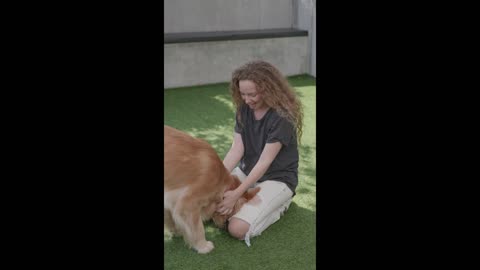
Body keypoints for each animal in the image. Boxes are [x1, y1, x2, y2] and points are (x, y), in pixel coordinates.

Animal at [164, 125, 258, 254]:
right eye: (231, 213)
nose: (225, 226)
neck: (220, 179)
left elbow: (169, 217)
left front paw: (176, 230)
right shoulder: (189, 204)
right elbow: (198, 228)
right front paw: (203, 246)